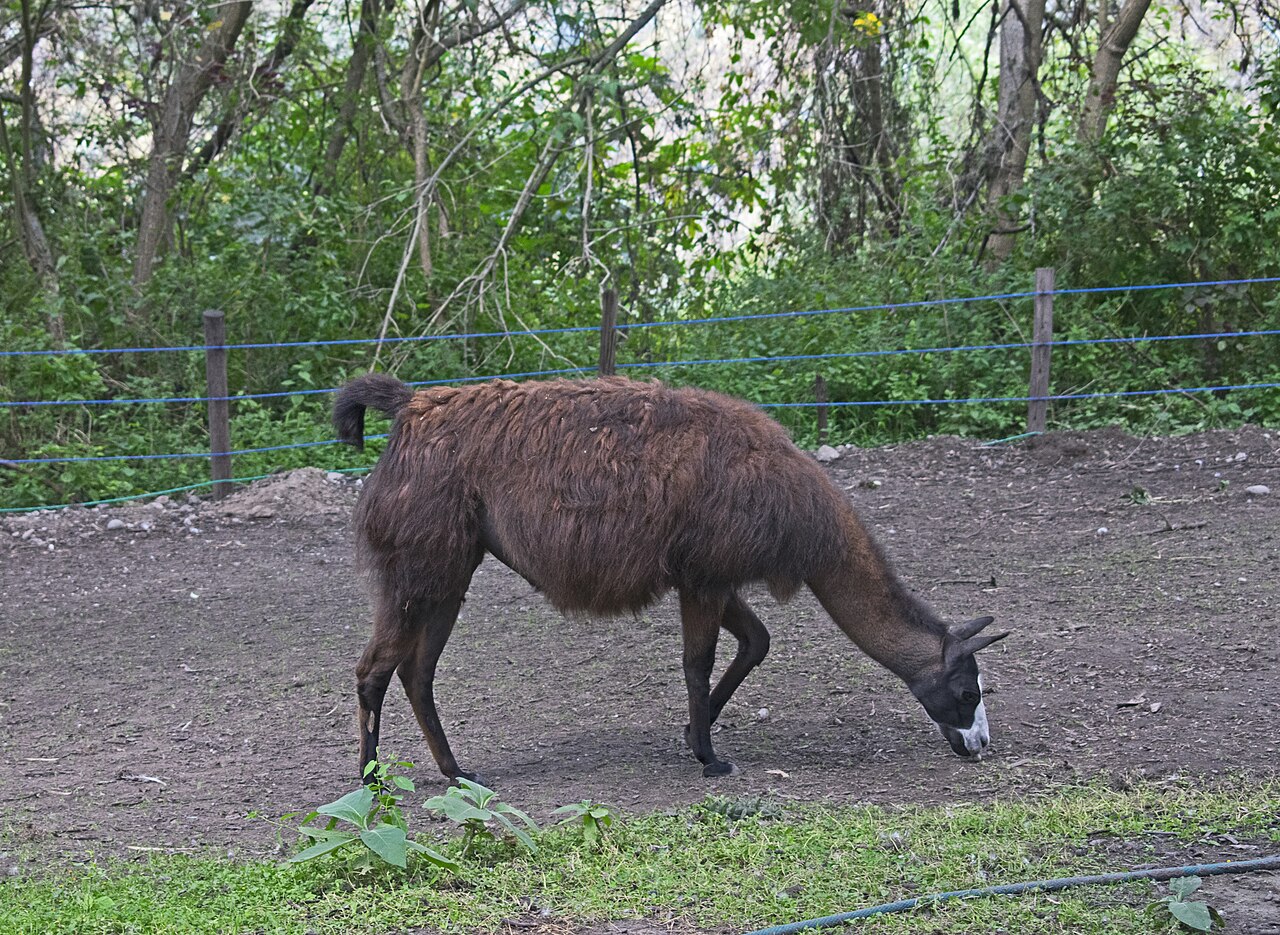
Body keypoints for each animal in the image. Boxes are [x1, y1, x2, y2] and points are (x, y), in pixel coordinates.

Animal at [334, 373, 1007, 782]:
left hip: (446, 570)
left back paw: (456, 772)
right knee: (374, 669)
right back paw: (371, 782)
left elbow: (755, 642)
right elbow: (698, 661)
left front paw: (692, 732)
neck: (799, 514)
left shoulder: (709, 574)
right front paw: (710, 758)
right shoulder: (705, 573)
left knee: (417, 672)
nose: (978, 745)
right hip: (420, 563)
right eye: (967, 692)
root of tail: (411, 406)